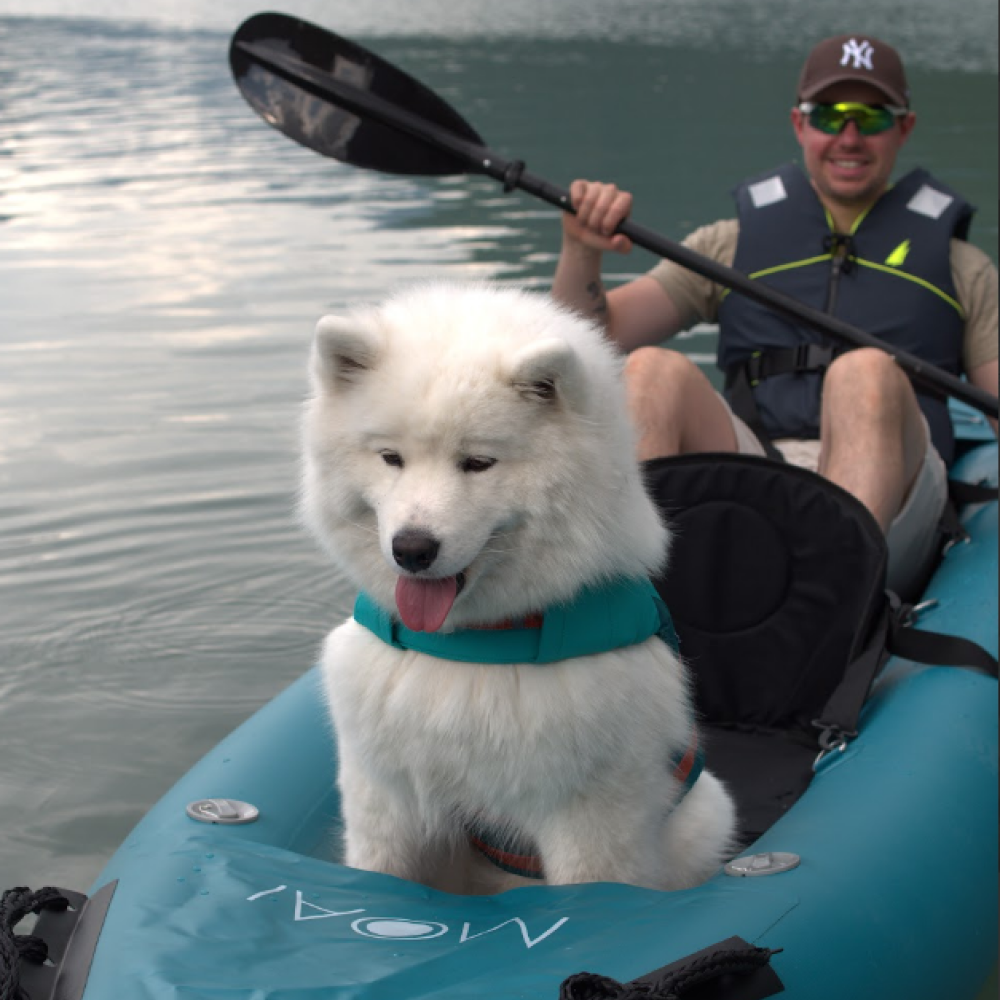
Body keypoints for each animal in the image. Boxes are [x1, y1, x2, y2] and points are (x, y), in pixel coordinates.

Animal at [302, 286, 736, 896]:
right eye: (391, 458)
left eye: (478, 463)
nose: (411, 549)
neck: (477, 643)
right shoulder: (384, 795)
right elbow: (379, 875)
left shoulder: (593, 814)